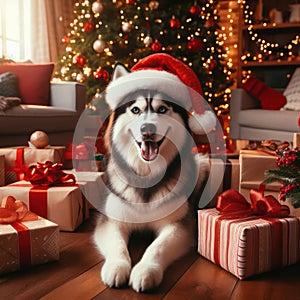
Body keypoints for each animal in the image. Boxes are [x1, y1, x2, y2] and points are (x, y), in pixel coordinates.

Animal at [94, 54, 213, 292]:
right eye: (136, 110)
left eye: (162, 110)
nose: (147, 129)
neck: (147, 174)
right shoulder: (111, 221)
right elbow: (118, 244)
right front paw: (117, 267)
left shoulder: (179, 226)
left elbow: (157, 247)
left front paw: (145, 270)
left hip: (203, 163)